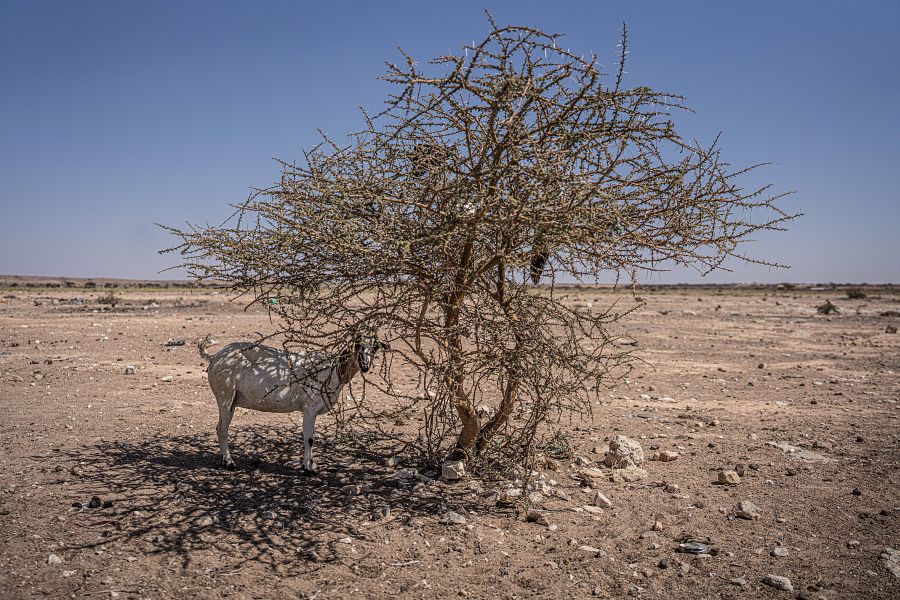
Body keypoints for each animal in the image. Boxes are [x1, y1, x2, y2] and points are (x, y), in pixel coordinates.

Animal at [199, 336, 384, 472]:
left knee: (220, 428)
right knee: (222, 429)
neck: (333, 371)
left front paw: (310, 464)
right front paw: (309, 468)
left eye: (375, 347)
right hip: (225, 396)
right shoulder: (310, 408)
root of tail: (215, 357)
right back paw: (229, 463)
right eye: (357, 344)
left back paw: (223, 460)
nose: (365, 366)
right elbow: (309, 438)